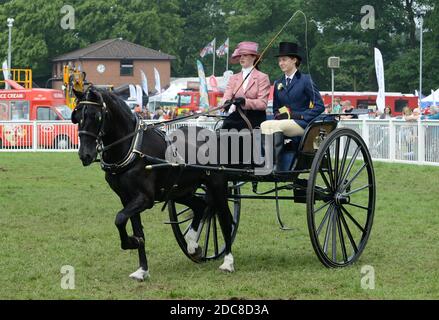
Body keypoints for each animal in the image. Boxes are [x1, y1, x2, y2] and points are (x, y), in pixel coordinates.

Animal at [71, 87, 237, 280]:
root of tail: (213, 135)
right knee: (201, 206)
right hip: (181, 191)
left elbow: (119, 218)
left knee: (225, 219)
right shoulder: (127, 198)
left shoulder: (145, 198)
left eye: (95, 115)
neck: (133, 148)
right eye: (77, 116)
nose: (85, 155)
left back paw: (228, 262)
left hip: (217, 185)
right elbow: (134, 228)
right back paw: (192, 245)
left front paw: (131, 242)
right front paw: (142, 268)